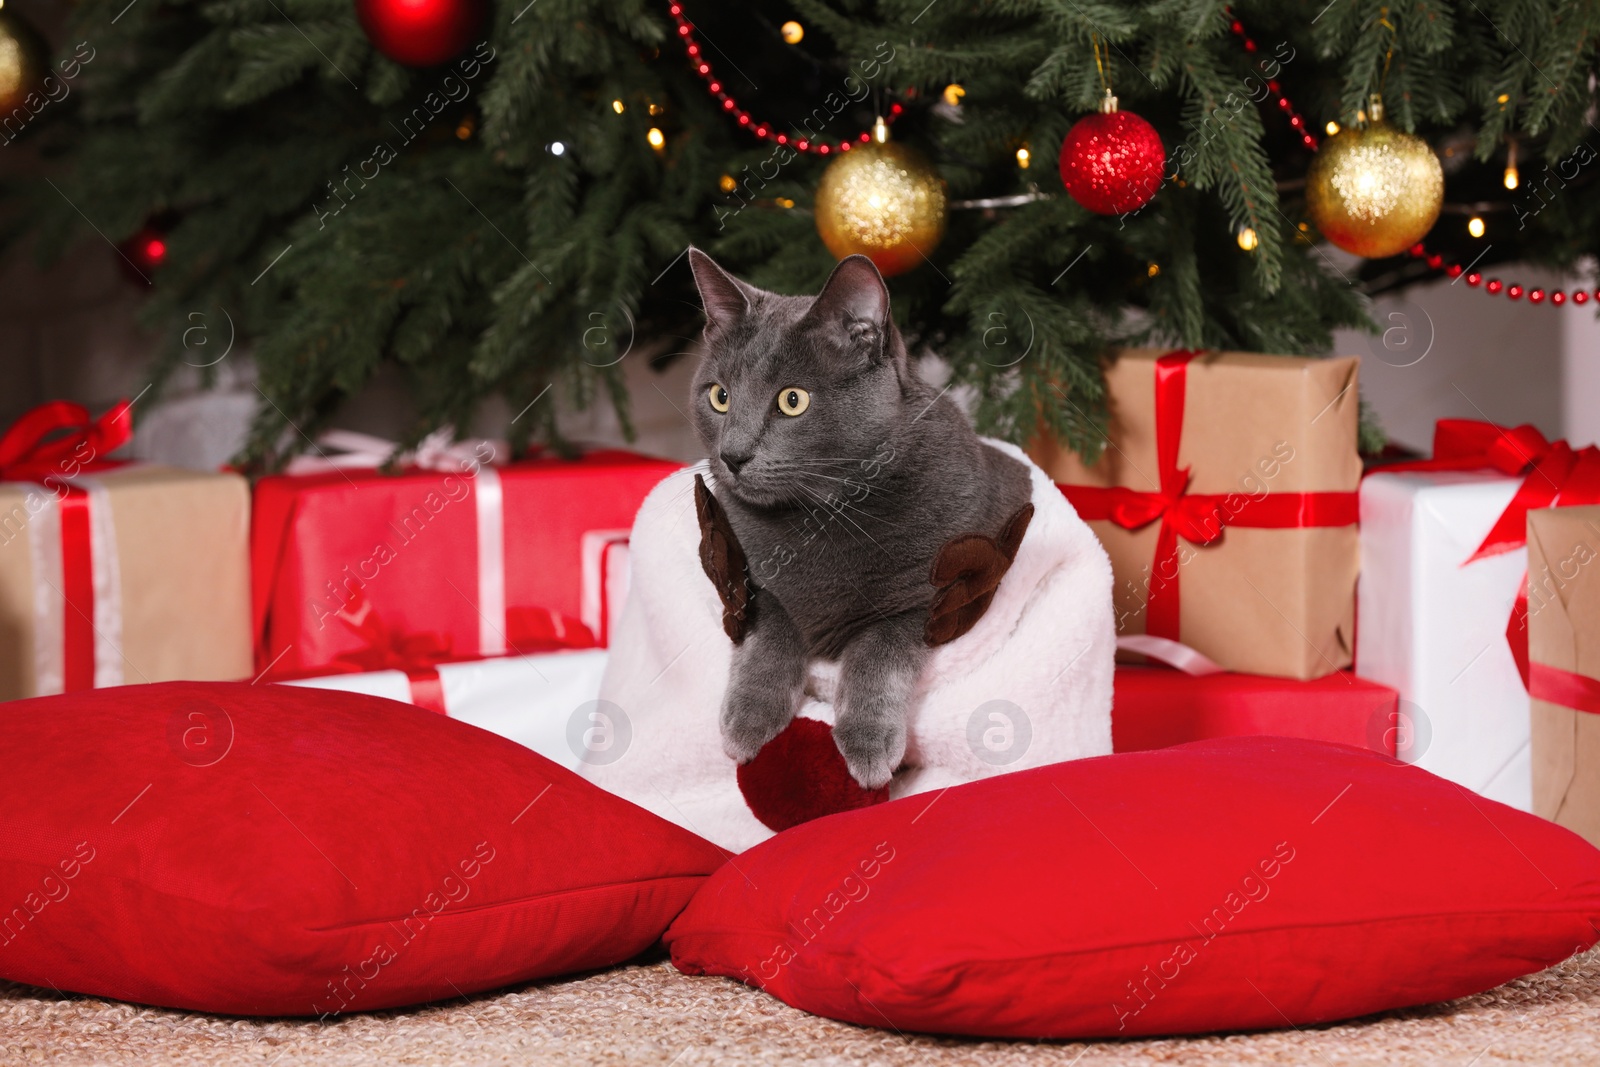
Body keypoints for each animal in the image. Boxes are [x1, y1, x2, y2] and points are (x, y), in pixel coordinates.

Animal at [681, 247, 1030, 783]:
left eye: (793, 400)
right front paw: (750, 718)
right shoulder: (744, 572)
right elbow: (772, 622)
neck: (820, 514)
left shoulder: (930, 597)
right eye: (719, 396)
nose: (732, 455)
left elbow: (878, 649)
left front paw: (868, 743)